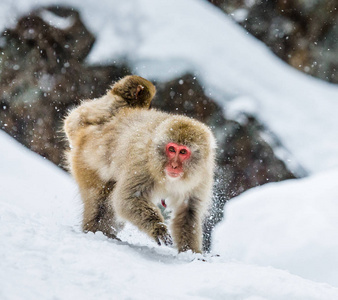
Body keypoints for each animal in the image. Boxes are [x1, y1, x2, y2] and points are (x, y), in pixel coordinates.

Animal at [63, 75, 215, 253]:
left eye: (183, 152)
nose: (174, 166)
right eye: (171, 149)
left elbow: (189, 212)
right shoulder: (142, 164)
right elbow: (126, 199)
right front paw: (158, 228)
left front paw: (191, 253)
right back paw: (97, 230)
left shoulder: (202, 177)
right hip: (87, 164)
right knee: (100, 196)